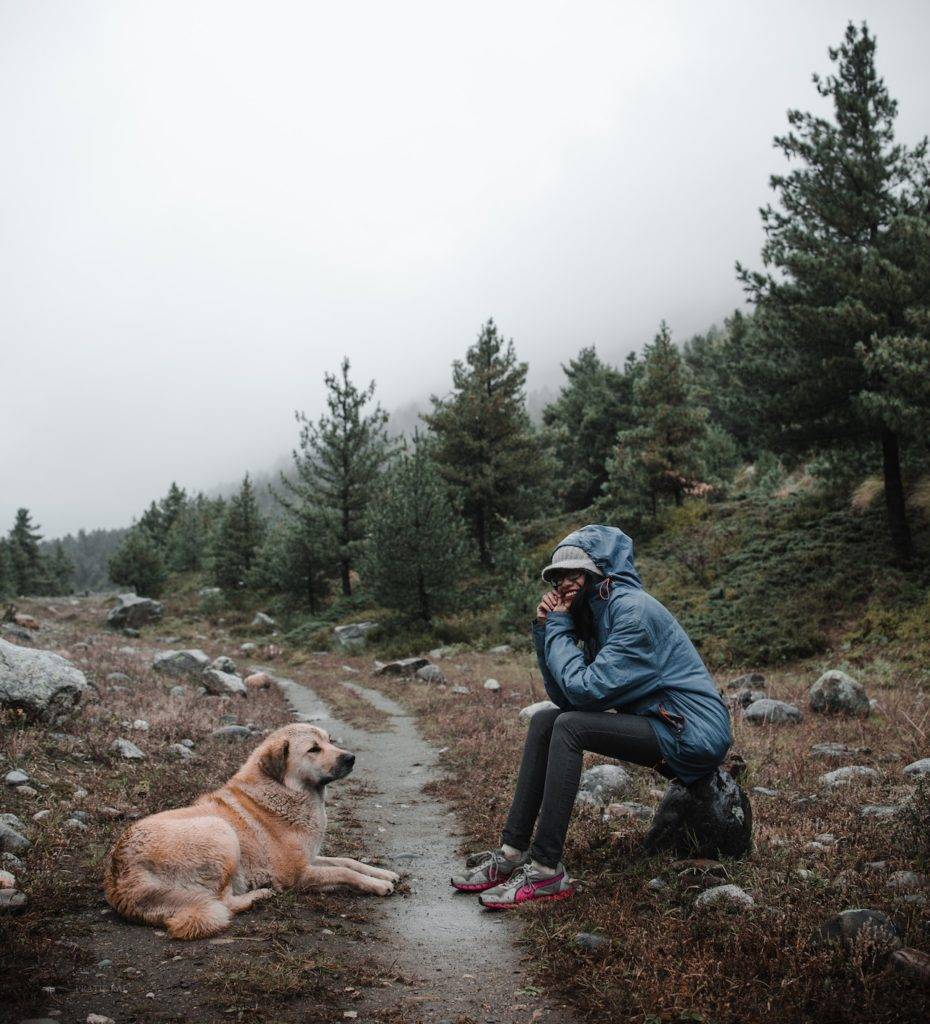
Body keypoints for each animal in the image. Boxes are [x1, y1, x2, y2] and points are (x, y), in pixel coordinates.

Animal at [102, 720, 399, 937]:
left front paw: (383, 873)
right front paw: (378, 885)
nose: (351, 758)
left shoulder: (311, 858)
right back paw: (258, 896)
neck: (285, 790)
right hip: (221, 832)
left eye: (329, 740)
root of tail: (121, 877)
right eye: (314, 749)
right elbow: (343, 871)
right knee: (224, 902)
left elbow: (348, 861)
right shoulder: (297, 874)